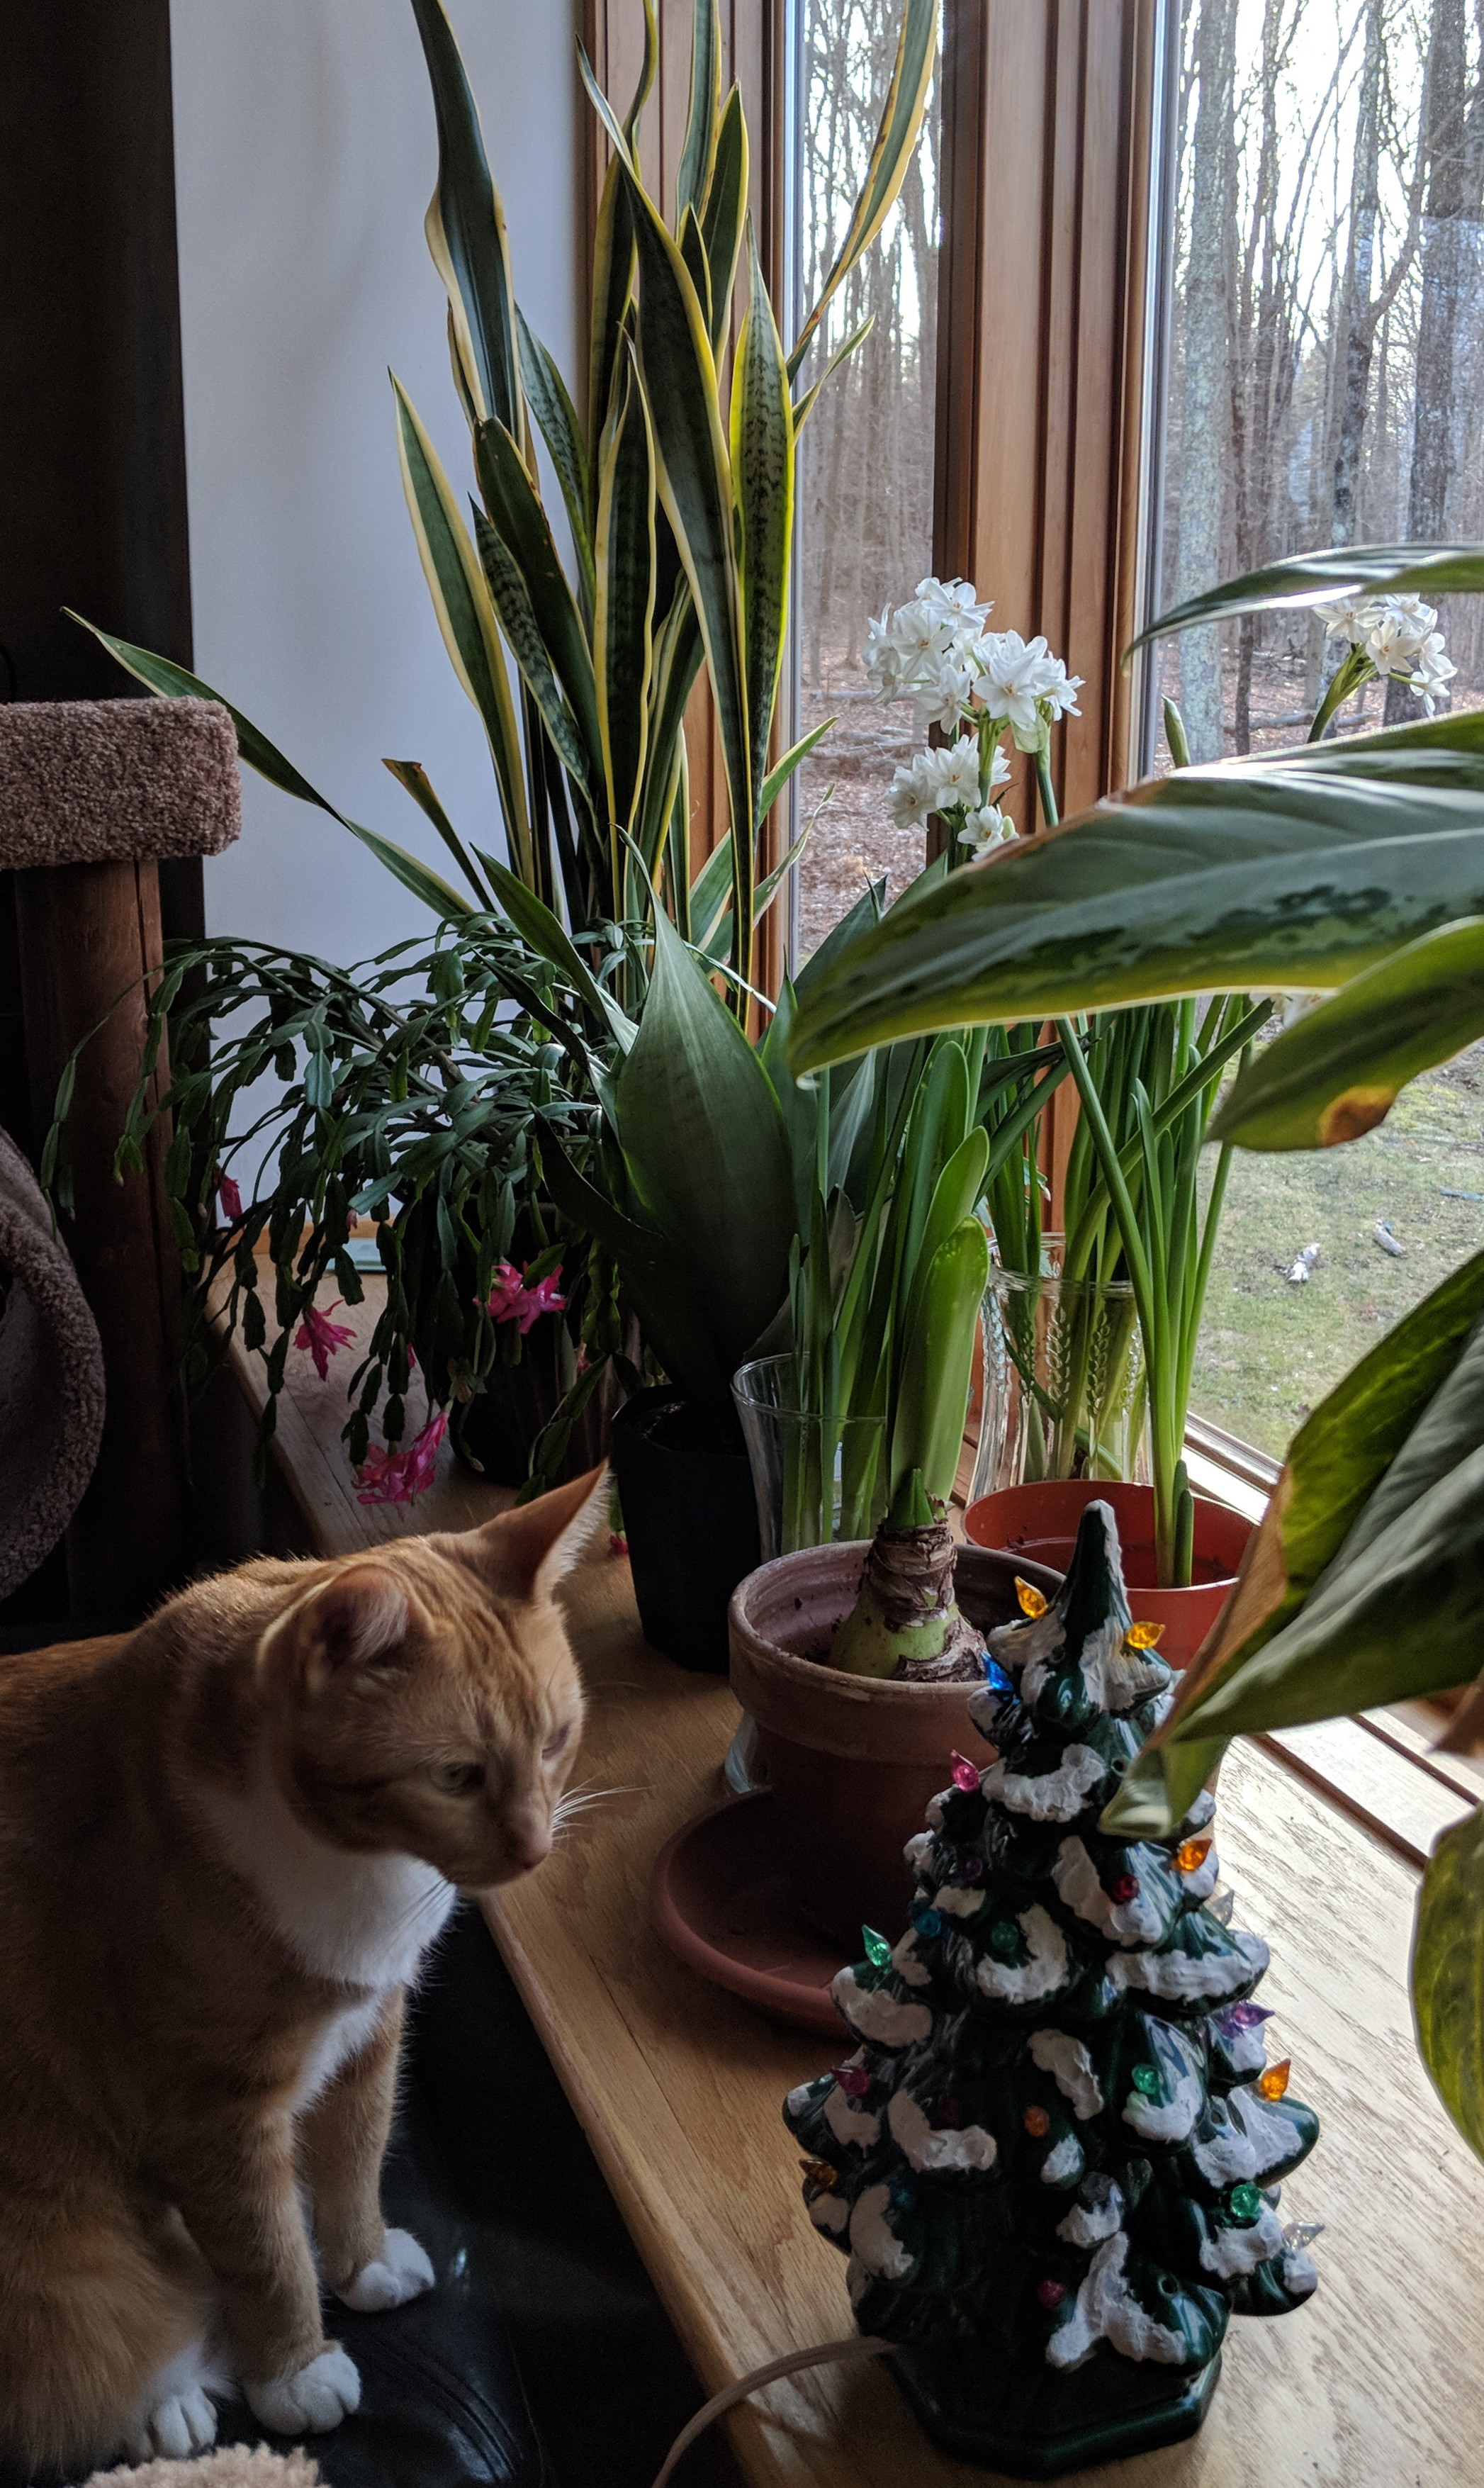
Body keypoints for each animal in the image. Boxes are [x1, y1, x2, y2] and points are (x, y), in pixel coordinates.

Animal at [0, 1463, 605, 2475]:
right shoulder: (213, 2114)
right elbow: (268, 2251)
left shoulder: (370, 2034)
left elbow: (355, 2160)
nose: (533, 1852)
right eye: (455, 1777)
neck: (361, 1866)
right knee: (98, 2346)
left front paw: (362, 2263)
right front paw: (294, 2369)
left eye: (557, 1741)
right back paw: (165, 2403)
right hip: (60, 2259)